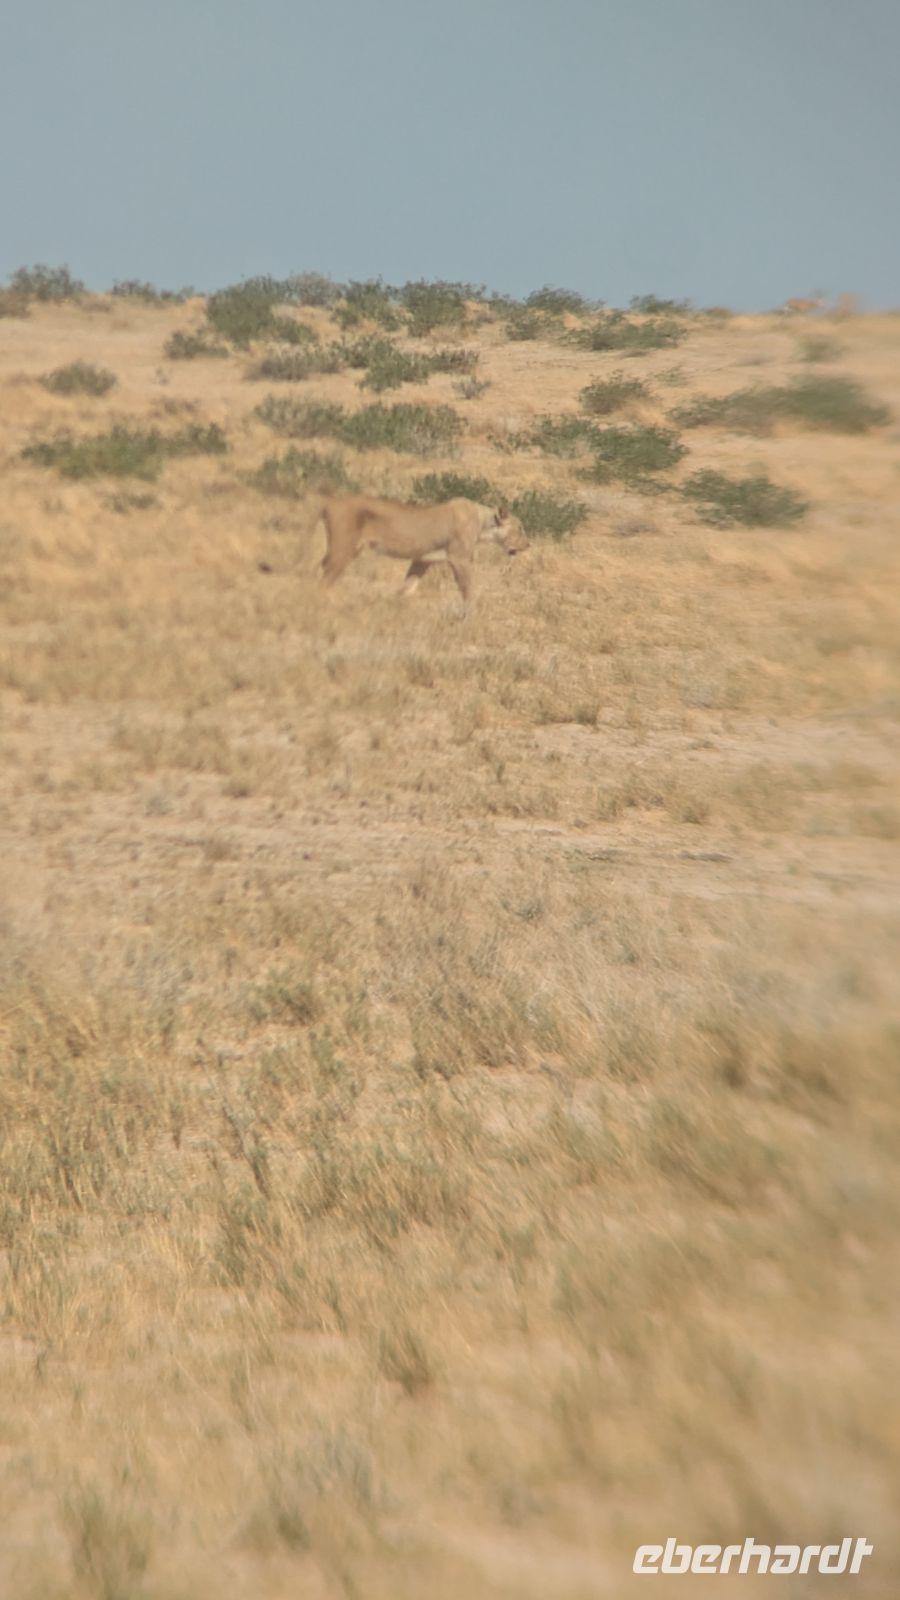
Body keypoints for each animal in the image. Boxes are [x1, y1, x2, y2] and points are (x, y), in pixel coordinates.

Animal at [315, 494, 529, 603]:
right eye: (520, 528)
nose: (529, 544)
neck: (483, 522)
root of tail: (329, 502)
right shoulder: (459, 558)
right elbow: (468, 589)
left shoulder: (422, 559)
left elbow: (408, 585)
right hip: (343, 549)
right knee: (325, 579)